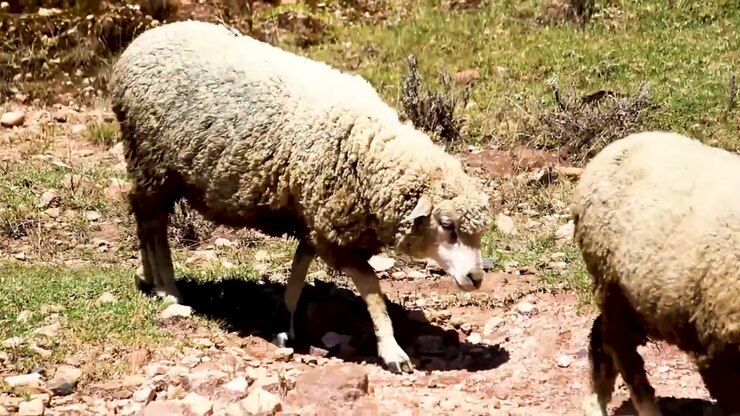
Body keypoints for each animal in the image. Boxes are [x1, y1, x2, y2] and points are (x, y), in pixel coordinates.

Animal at [108, 20, 492, 374]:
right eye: (446, 224)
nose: (476, 279)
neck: (368, 146)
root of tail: (141, 41)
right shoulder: (333, 229)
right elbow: (372, 288)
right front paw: (392, 350)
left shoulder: (314, 215)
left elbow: (298, 269)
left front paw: (284, 322)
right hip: (152, 161)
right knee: (153, 225)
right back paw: (168, 290)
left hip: (151, 166)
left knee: (144, 220)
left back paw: (150, 279)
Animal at [571, 130, 740, 416]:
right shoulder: (720, 351)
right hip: (610, 281)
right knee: (619, 347)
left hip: (640, 300)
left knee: (600, 335)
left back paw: (596, 401)